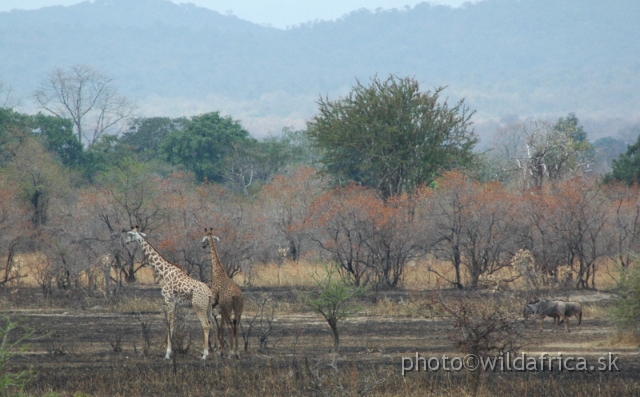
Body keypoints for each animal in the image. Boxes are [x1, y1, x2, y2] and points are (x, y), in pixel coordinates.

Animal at [124, 226, 216, 358]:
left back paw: (205, 354)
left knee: (206, 325)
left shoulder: (169, 300)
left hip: (198, 306)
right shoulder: (175, 303)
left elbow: (170, 325)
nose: (125, 242)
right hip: (208, 307)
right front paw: (170, 351)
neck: (164, 272)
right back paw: (218, 351)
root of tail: (209, 293)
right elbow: (172, 325)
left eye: (130, 235)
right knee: (213, 323)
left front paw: (167, 353)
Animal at [204, 226, 244, 358]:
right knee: (236, 325)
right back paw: (237, 352)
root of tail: (235, 296)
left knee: (231, 326)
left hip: (228, 308)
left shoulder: (215, 302)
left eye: (204, 239)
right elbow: (221, 326)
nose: (203, 246)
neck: (218, 271)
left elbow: (218, 324)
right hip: (238, 308)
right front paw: (221, 350)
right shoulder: (221, 306)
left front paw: (219, 350)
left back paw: (231, 353)